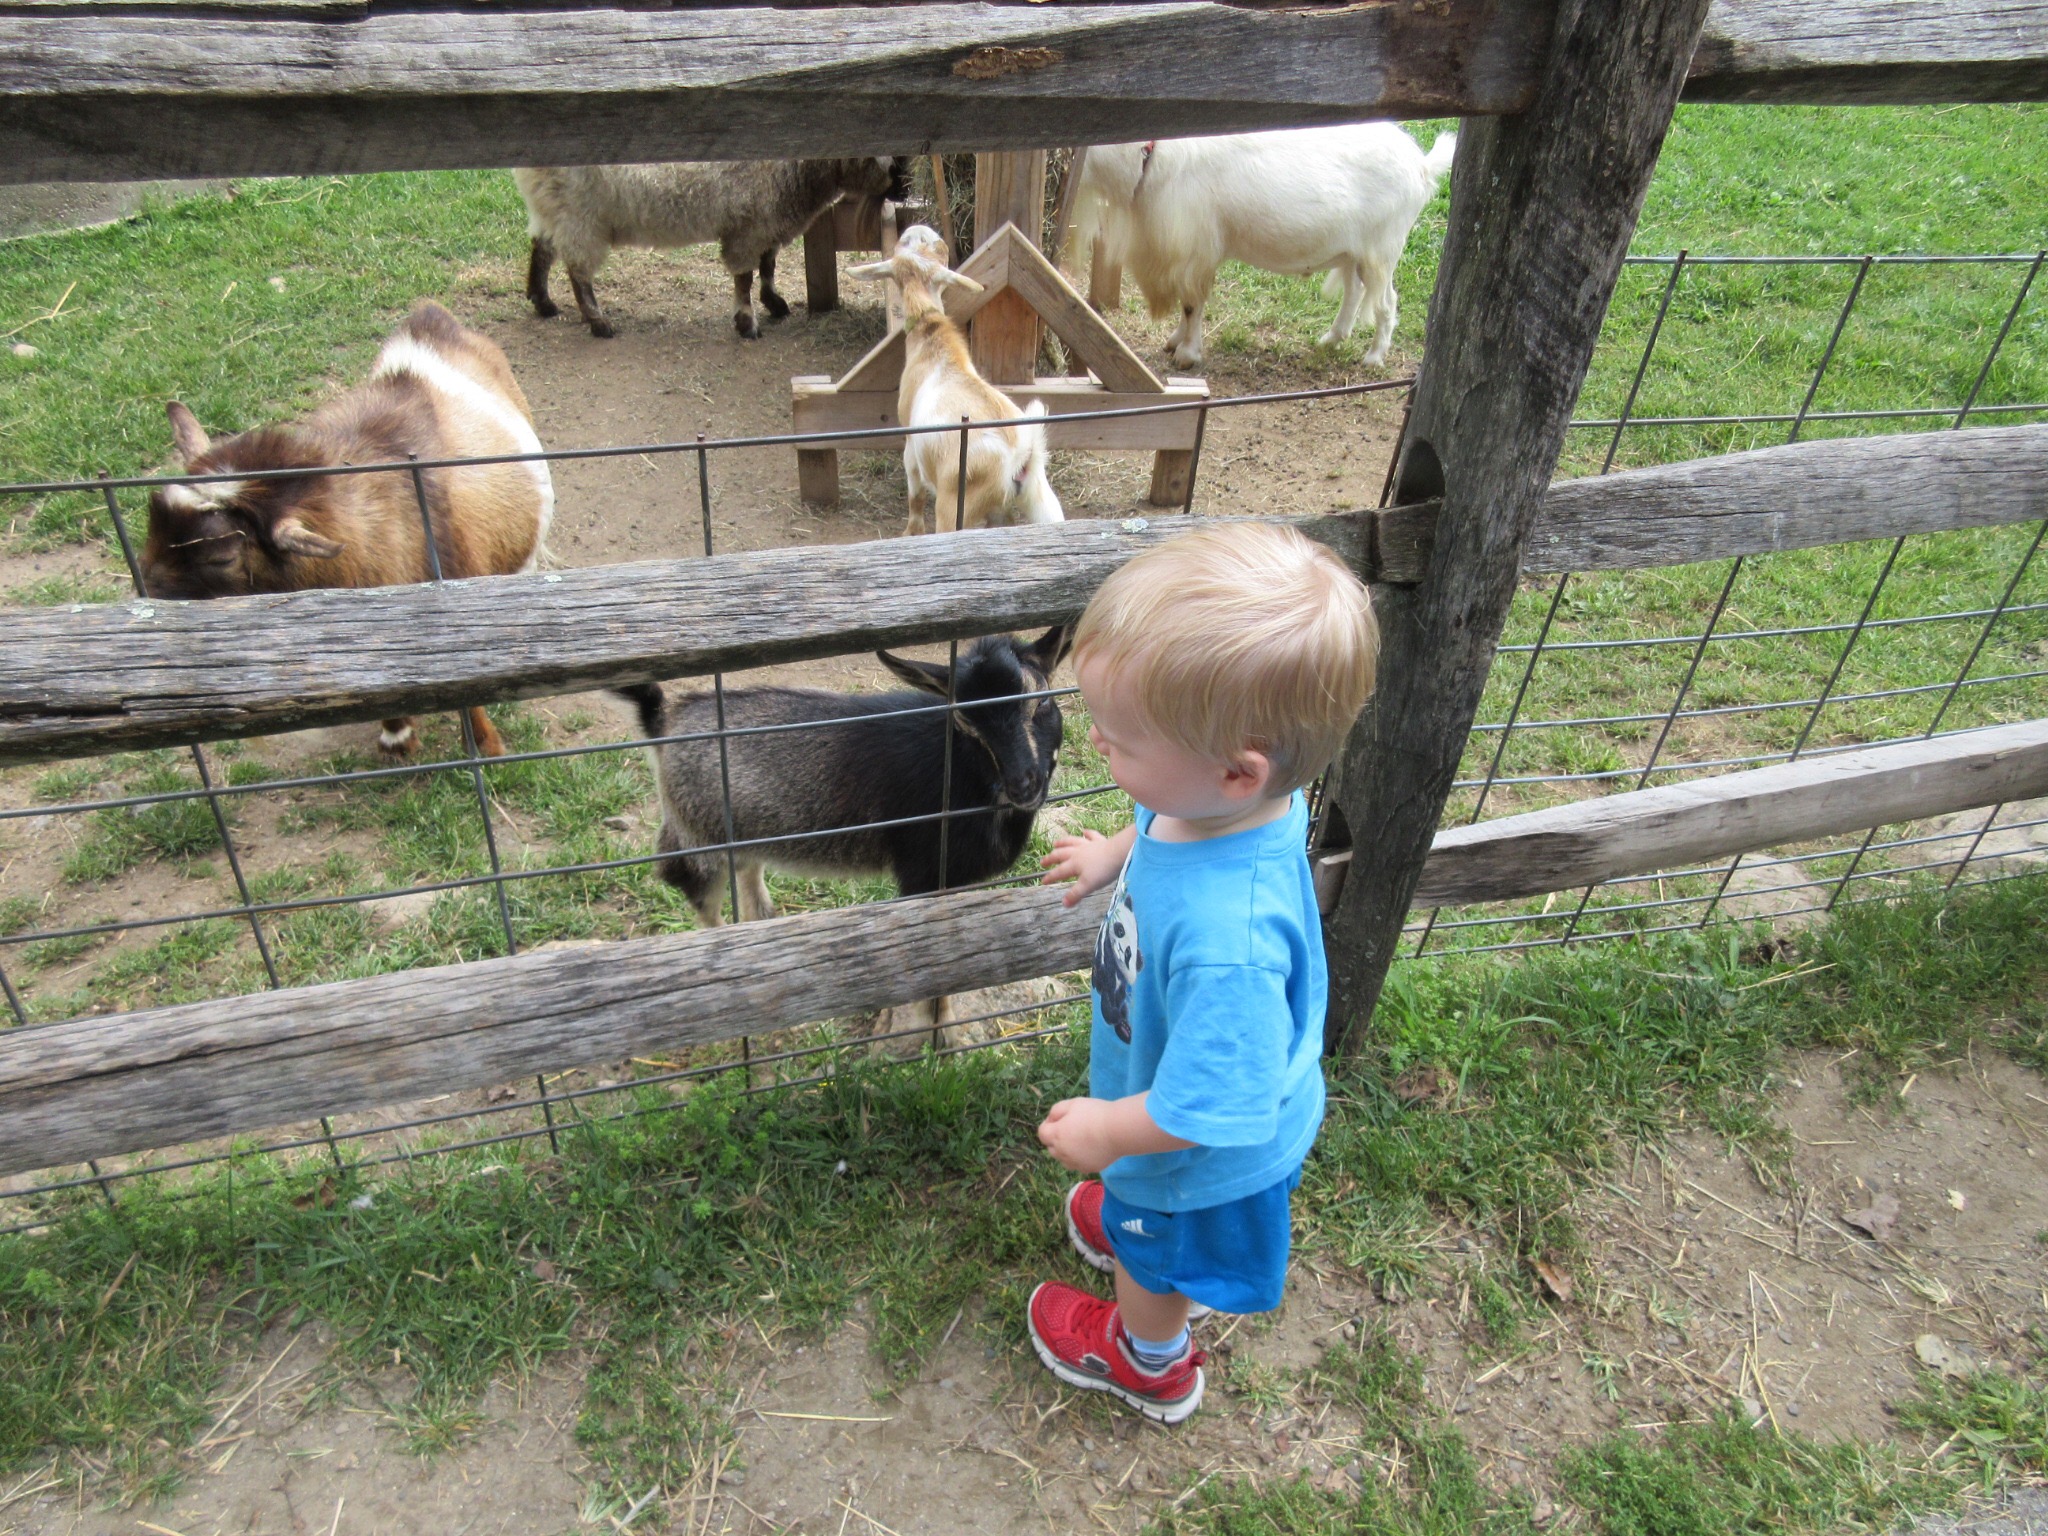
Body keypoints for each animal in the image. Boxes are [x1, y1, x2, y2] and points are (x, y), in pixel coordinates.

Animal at [140, 300, 552, 759]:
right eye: (151, 519)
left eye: (222, 556)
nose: (146, 597)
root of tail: (428, 318)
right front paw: (397, 736)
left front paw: (488, 747)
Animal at [514, 157, 912, 340]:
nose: (904, 189)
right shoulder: (748, 226)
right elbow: (745, 276)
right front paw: (747, 321)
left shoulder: (768, 222)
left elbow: (768, 265)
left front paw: (774, 303)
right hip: (579, 213)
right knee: (578, 269)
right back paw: (598, 321)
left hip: (553, 208)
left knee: (542, 248)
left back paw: (542, 301)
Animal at [614, 626, 1069, 1045]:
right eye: (965, 722)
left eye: (1044, 700)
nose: (1022, 784)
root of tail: (663, 719)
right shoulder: (922, 872)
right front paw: (939, 1036)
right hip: (697, 833)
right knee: (695, 895)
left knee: (746, 874)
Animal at [848, 225, 1063, 535]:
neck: (932, 338)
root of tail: (1021, 452)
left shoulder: (910, 446)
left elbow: (915, 498)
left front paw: (910, 533)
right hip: (1041, 501)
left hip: (956, 507)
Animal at [1071, 124, 1457, 369]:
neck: (1149, 159)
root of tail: (1422, 167)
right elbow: (1187, 302)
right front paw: (1175, 340)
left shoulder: (1195, 249)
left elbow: (1192, 303)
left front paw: (1187, 354)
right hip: (1352, 250)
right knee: (1354, 290)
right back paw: (1332, 338)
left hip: (1382, 248)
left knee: (1386, 301)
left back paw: (1374, 358)